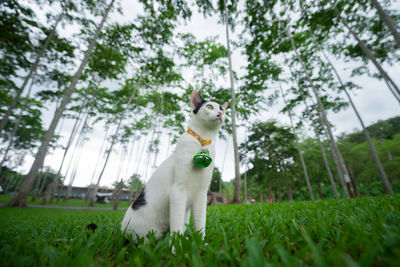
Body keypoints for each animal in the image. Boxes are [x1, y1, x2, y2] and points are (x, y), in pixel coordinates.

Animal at [120, 91, 227, 242]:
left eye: (222, 108)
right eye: (209, 107)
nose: (220, 113)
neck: (201, 141)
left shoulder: (201, 194)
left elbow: (200, 223)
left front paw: (202, 243)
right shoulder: (178, 190)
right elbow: (176, 226)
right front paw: (177, 246)